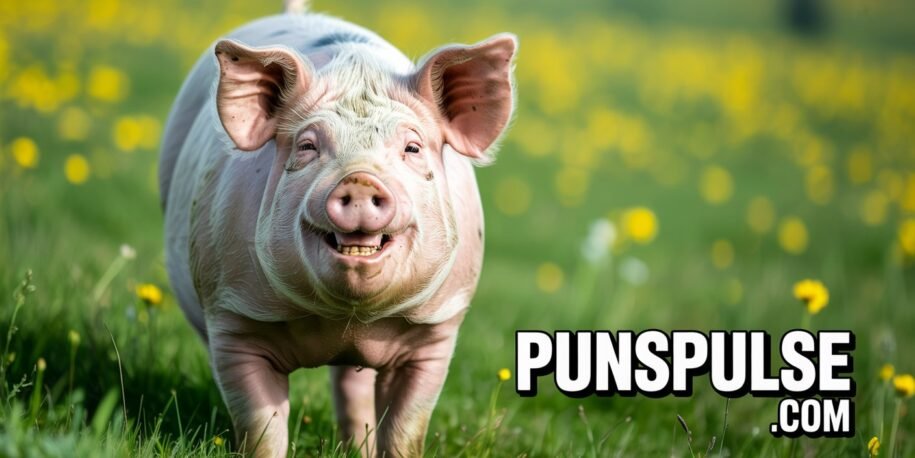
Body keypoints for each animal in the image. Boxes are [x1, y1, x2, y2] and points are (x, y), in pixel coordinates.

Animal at [158, 1, 516, 456]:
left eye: (412, 147)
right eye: (308, 146)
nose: (360, 180)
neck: (346, 320)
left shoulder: (435, 333)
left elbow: (407, 427)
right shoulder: (233, 315)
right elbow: (261, 425)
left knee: (352, 386)